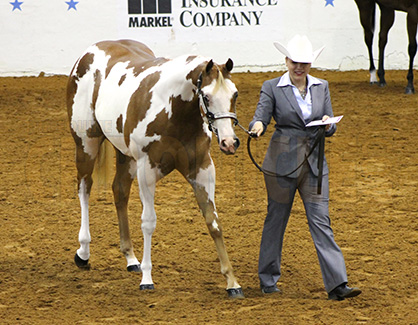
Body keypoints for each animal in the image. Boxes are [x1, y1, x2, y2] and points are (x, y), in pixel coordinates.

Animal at [66, 39, 245, 298]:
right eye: (206, 96)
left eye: (235, 94)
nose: (229, 142)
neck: (173, 109)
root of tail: (89, 52)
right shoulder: (146, 170)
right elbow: (149, 222)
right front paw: (147, 279)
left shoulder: (202, 169)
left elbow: (213, 221)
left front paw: (232, 282)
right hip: (86, 144)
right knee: (84, 188)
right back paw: (83, 253)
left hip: (125, 156)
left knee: (119, 191)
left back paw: (131, 258)